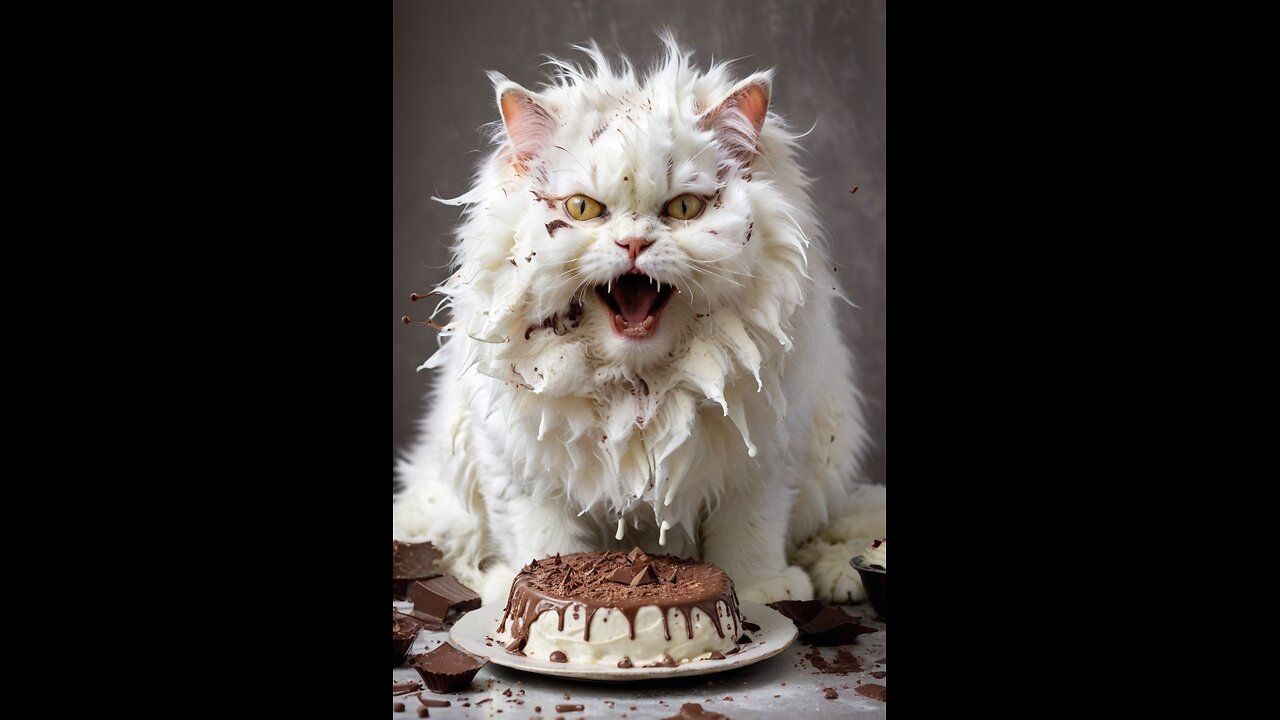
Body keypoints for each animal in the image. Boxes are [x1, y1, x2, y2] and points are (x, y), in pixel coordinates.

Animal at [394, 36, 885, 602]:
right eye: (583, 209)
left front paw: (762, 590)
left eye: (685, 208)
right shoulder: (519, 469)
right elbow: (541, 537)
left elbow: (749, 536)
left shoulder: (764, 461)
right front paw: (522, 586)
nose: (632, 244)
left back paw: (837, 572)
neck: (638, 390)